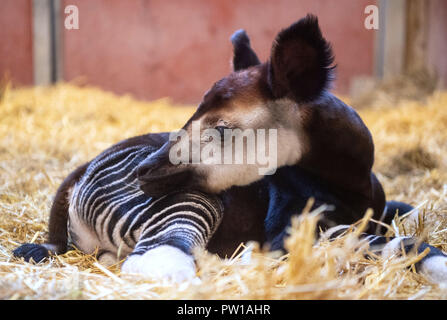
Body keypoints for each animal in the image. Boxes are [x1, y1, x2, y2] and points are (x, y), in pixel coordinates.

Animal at [14, 15, 447, 284]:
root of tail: (80, 174)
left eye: (222, 129)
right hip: (193, 201)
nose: (142, 173)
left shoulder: (378, 210)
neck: (353, 182)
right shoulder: (299, 231)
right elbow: (404, 243)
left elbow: (409, 214)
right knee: (160, 253)